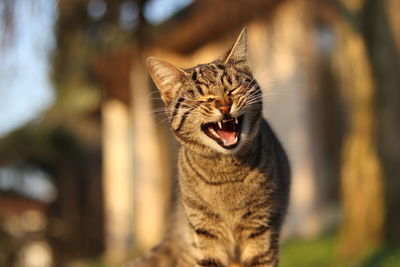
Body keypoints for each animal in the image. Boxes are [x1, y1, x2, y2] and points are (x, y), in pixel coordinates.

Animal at [128, 27, 290, 267]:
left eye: (232, 89)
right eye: (203, 98)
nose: (224, 105)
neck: (227, 170)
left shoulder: (261, 228)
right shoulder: (205, 231)